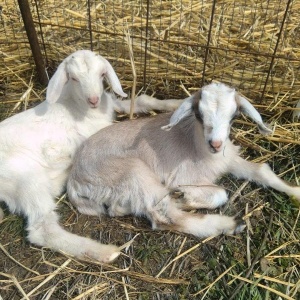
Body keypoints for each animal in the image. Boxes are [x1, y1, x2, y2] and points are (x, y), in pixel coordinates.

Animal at [0, 49, 182, 262]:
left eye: (102, 74)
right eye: (73, 78)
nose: (94, 100)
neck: (77, 105)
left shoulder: (111, 103)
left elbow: (141, 100)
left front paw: (177, 104)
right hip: (26, 180)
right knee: (42, 229)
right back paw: (104, 252)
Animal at [67, 82, 300, 262]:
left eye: (234, 116)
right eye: (199, 114)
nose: (215, 143)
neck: (199, 148)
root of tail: (74, 179)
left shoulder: (229, 159)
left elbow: (261, 171)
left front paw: (295, 191)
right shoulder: (183, 177)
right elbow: (220, 193)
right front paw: (185, 196)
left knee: (122, 208)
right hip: (132, 171)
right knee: (165, 216)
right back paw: (229, 224)